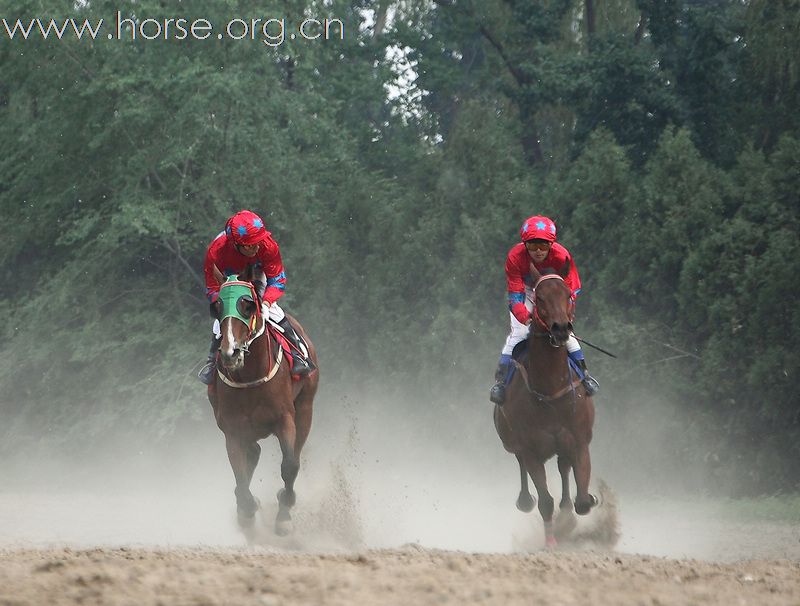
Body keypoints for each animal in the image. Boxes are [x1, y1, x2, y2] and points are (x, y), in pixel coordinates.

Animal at [206, 266, 318, 536]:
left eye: (247, 305)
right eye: (217, 307)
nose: (230, 352)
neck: (250, 376)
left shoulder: (285, 419)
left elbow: (290, 465)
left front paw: (284, 515)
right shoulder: (233, 429)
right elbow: (239, 473)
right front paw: (246, 509)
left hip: (306, 408)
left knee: (293, 452)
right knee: (253, 453)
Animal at [490, 264, 596, 548]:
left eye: (568, 295)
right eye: (539, 298)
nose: (560, 328)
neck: (550, 391)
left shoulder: (579, 441)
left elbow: (583, 501)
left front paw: (579, 506)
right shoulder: (530, 449)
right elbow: (545, 501)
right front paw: (550, 543)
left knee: (564, 468)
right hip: (510, 441)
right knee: (521, 465)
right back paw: (526, 500)